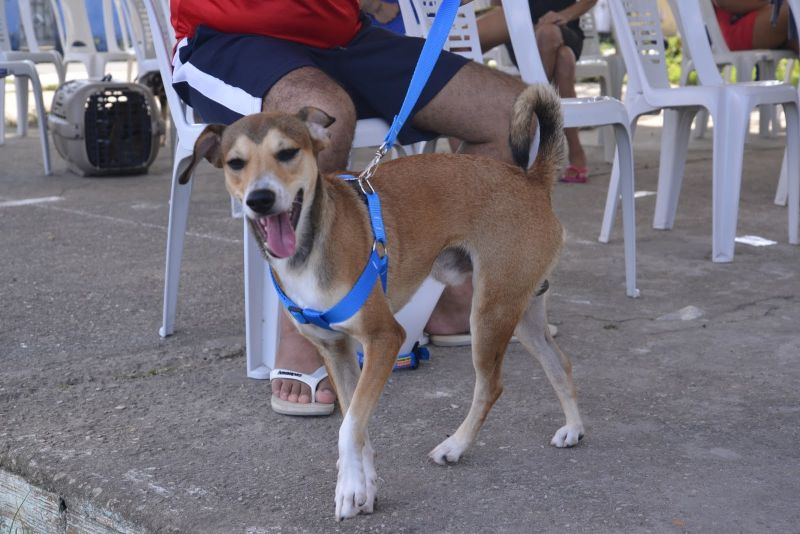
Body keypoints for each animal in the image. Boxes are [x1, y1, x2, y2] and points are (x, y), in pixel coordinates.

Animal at [180, 85, 580, 524]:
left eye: (287, 152)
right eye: (236, 163)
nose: (261, 199)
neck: (309, 249)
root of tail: (531, 179)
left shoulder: (385, 338)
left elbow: (348, 425)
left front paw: (349, 489)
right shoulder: (335, 350)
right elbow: (357, 423)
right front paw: (362, 485)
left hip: (490, 314)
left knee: (490, 386)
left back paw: (455, 446)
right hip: (520, 311)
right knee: (559, 363)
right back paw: (573, 429)